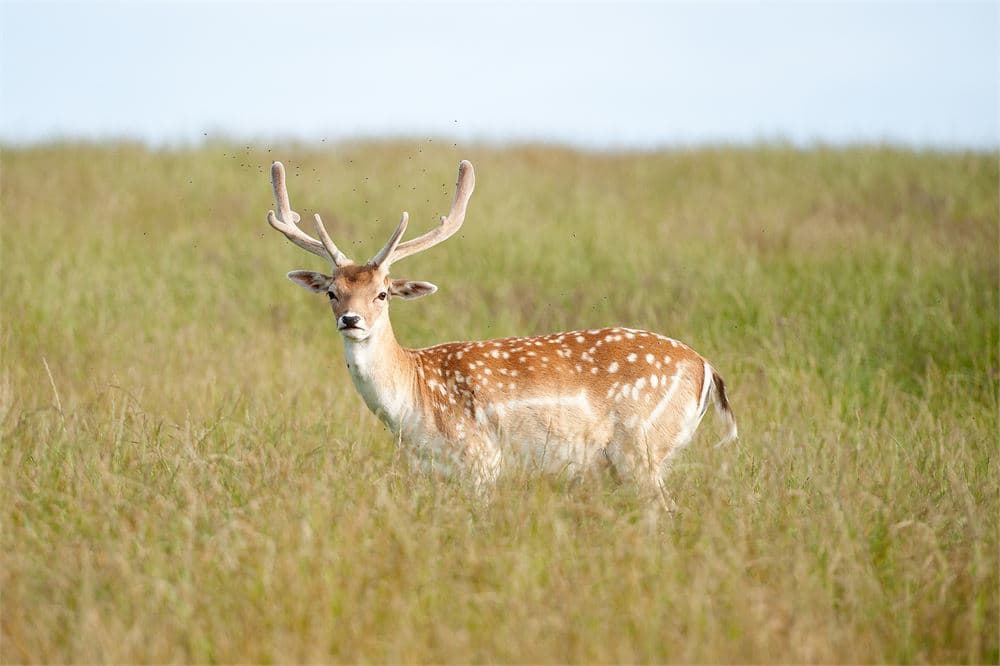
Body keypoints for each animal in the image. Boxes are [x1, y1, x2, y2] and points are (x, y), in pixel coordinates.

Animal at [265, 159, 737, 512]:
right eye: (332, 292)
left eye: (382, 293)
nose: (351, 320)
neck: (414, 401)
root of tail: (707, 368)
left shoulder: (480, 459)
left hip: (641, 445)